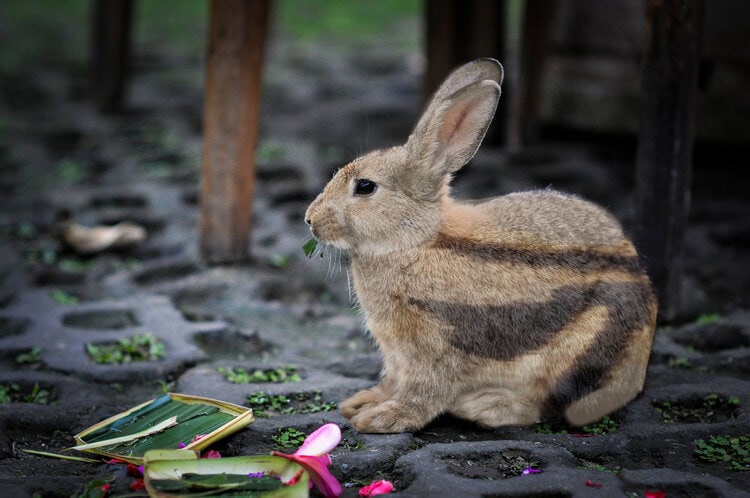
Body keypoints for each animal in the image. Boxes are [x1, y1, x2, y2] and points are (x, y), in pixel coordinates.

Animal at [306, 57, 656, 432]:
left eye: (366, 187)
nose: (310, 219)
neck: (416, 241)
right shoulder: (397, 353)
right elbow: (395, 379)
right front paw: (362, 403)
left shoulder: (439, 345)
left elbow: (425, 390)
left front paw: (383, 418)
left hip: (586, 349)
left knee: (553, 406)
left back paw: (484, 407)